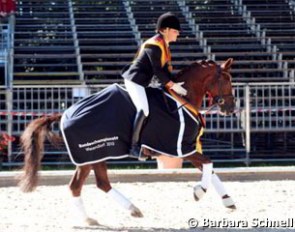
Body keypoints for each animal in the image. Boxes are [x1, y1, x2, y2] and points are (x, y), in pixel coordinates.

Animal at [17, 58, 236, 227]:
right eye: (226, 79)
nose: (231, 108)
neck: (182, 100)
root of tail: (64, 114)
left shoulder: (186, 150)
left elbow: (210, 169)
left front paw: (228, 201)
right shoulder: (181, 148)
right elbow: (208, 164)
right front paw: (200, 192)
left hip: (92, 157)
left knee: (89, 185)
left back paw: (104, 216)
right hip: (92, 155)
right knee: (87, 185)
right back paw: (120, 212)